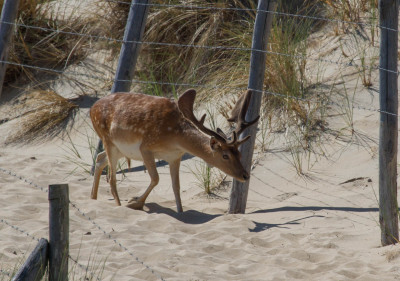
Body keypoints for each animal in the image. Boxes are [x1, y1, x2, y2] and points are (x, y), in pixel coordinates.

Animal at [90, 88, 260, 211]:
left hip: (119, 149)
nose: (245, 175)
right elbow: (156, 178)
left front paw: (180, 211)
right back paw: (118, 205)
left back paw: (93, 198)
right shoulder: (146, 147)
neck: (175, 137)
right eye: (225, 155)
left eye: (239, 153)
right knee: (111, 177)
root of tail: (92, 109)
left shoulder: (175, 156)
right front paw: (135, 202)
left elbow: (176, 187)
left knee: (99, 159)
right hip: (107, 139)